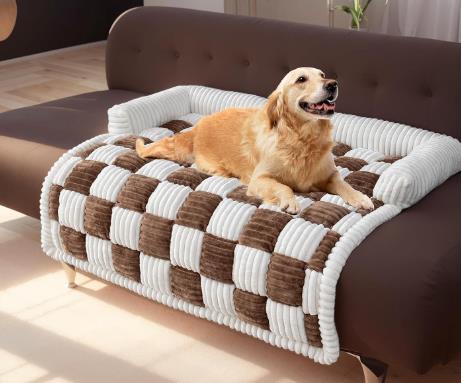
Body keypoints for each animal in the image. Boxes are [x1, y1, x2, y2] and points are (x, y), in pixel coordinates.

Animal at [135, 67, 372, 214]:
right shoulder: (259, 179)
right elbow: (284, 187)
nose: (332, 84)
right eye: (301, 79)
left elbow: (345, 184)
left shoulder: (330, 175)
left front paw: (360, 197)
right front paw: (290, 201)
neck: (303, 139)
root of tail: (199, 126)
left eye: (322, 74)